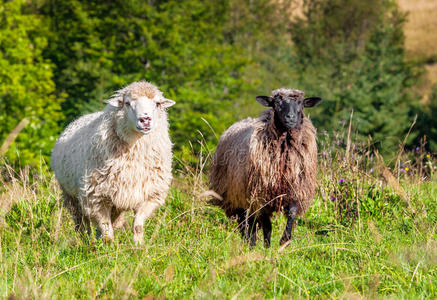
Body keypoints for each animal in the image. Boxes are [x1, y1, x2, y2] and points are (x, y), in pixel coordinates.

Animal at [51, 80, 174, 244]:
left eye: (158, 103)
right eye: (127, 103)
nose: (145, 119)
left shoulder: (151, 194)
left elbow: (137, 226)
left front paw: (139, 246)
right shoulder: (95, 196)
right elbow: (107, 230)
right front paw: (108, 248)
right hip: (71, 195)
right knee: (82, 222)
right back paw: (85, 241)